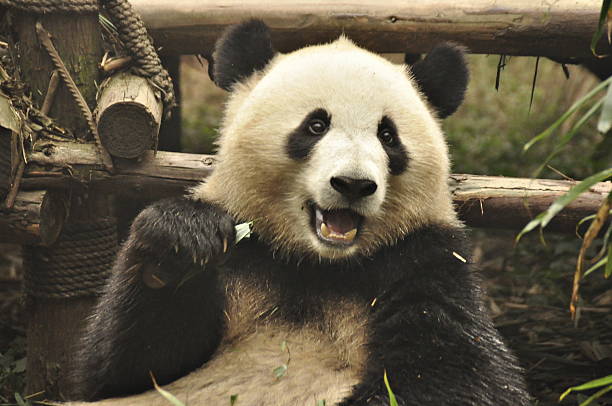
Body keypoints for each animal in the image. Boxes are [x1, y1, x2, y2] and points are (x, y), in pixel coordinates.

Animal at [69, 19, 532, 406]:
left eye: (388, 135)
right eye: (315, 125)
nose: (353, 184)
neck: (317, 264)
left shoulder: (424, 259)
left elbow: (459, 375)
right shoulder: (244, 257)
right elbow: (122, 368)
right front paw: (182, 241)